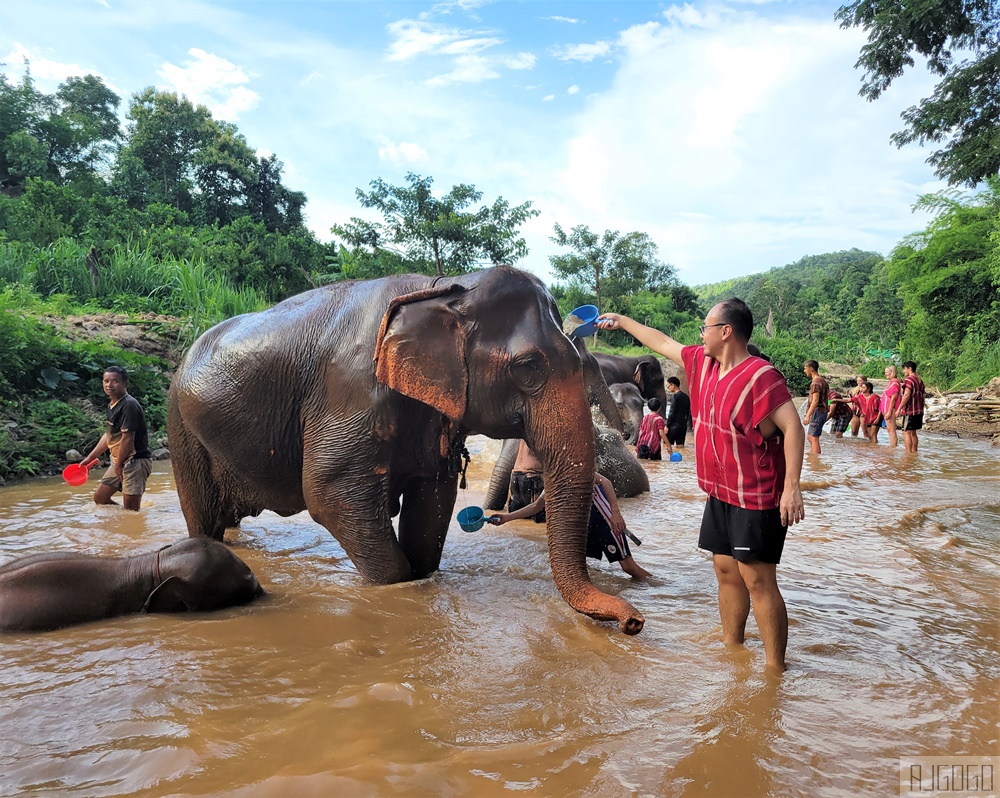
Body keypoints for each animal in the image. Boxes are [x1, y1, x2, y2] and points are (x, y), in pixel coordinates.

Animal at [167, 266, 644, 635]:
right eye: (529, 367)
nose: (633, 622)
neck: (446, 287)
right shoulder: (350, 390)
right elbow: (329, 494)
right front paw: (397, 588)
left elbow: (432, 501)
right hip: (181, 428)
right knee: (203, 517)